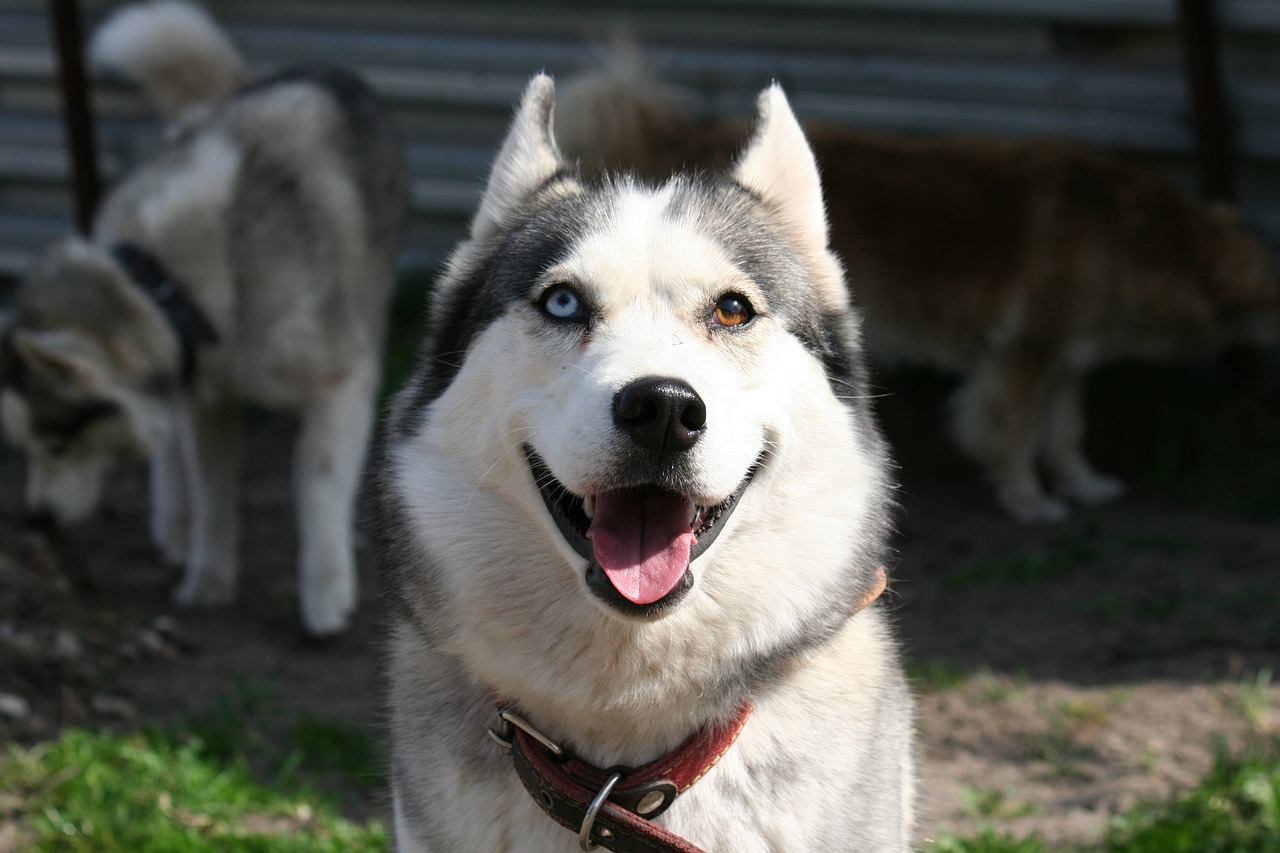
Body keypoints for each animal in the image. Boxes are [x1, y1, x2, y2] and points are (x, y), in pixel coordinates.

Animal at [0, 3, 407, 635]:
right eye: (26, 447)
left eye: (61, 442)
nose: (36, 520)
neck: (165, 281)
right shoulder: (209, 397)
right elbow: (213, 490)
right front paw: (208, 578)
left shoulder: (341, 380)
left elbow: (317, 485)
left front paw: (325, 596)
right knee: (173, 450)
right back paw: (174, 523)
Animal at [552, 61, 1280, 517]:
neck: (1138, 235)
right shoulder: (1022, 353)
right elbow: (1016, 433)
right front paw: (1028, 498)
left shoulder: (1067, 357)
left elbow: (1066, 430)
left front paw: (1082, 484)